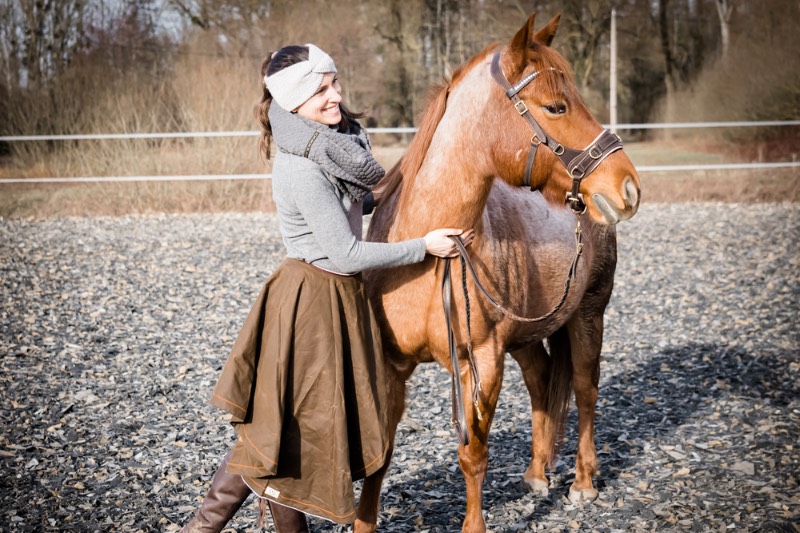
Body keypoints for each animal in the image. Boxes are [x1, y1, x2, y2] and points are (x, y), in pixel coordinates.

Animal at [356, 12, 644, 532]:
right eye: (556, 106)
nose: (628, 187)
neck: (434, 250)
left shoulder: (483, 362)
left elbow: (473, 455)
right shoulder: (391, 365)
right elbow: (380, 453)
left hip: (588, 315)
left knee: (585, 389)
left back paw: (582, 482)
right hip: (527, 335)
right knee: (541, 382)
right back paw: (536, 473)